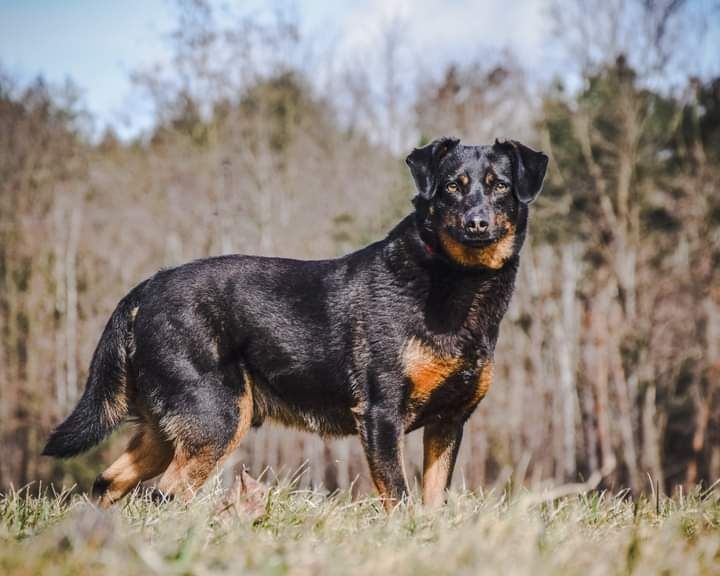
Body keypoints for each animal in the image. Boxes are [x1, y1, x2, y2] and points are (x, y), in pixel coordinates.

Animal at [42, 138, 548, 508]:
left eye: (500, 186)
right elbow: (400, 497)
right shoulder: (381, 415)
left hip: (167, 428)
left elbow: (433, 500)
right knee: (164, 493)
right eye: (451, 188)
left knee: (110, 480)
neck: (456, 283)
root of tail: (145, 289)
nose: (477, 222)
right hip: (216, 416)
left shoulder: (449, 422)